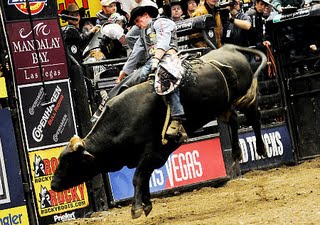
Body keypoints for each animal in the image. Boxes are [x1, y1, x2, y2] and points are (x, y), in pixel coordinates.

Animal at [52, 43, 268, 218]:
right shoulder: (153, 156)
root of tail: (229, 48)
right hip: (223, 105)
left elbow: (138, 178)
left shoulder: (153, 152)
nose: (53, 185)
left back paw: (261, 149)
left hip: (244, 96)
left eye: (69, 161)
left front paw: (136, 208)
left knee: (255, 117)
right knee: (233, 121)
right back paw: (237, 154)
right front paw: (146, 204)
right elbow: (144, 178)